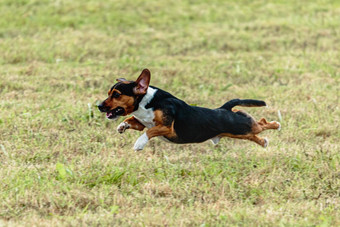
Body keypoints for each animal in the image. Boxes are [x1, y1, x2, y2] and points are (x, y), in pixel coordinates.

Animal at [97, 69, 280, 151]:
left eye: (116, 94)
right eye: (109, 93)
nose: (99, 106)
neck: (148, 103)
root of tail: (224, 108)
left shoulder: (166, 127)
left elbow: (149, 132)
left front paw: (139, 143)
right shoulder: (142, 122)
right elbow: (132, 121)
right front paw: (122, 126)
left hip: (241, 126)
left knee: (261, 124)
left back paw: (276, 125)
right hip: (241, 132)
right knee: (255, 132)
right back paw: (263, 142)